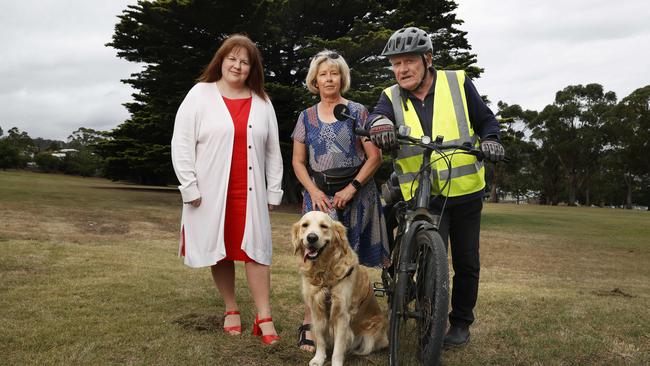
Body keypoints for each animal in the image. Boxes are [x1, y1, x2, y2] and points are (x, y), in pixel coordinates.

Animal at [292, 210, 388, 364]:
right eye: (305, 225)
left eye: (324, 226)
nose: (311, 237)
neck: (324, 271)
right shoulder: (316, 309)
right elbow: (320, 340)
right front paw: (318, 359)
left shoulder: (341, 314)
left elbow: (338, 348)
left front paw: (336, 362)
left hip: (370, 336)